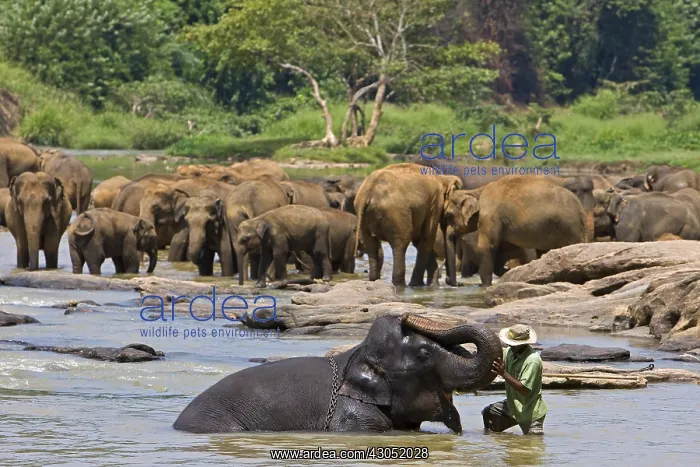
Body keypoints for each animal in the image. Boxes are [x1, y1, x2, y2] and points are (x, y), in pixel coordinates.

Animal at [452, 176, 587, 287]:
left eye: (448, 215)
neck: (476, 191)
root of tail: (581, 209)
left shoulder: (490, 214)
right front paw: (508, 273)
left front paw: (486, 286)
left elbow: (488, 246)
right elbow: (502, 249)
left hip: (569, 227)